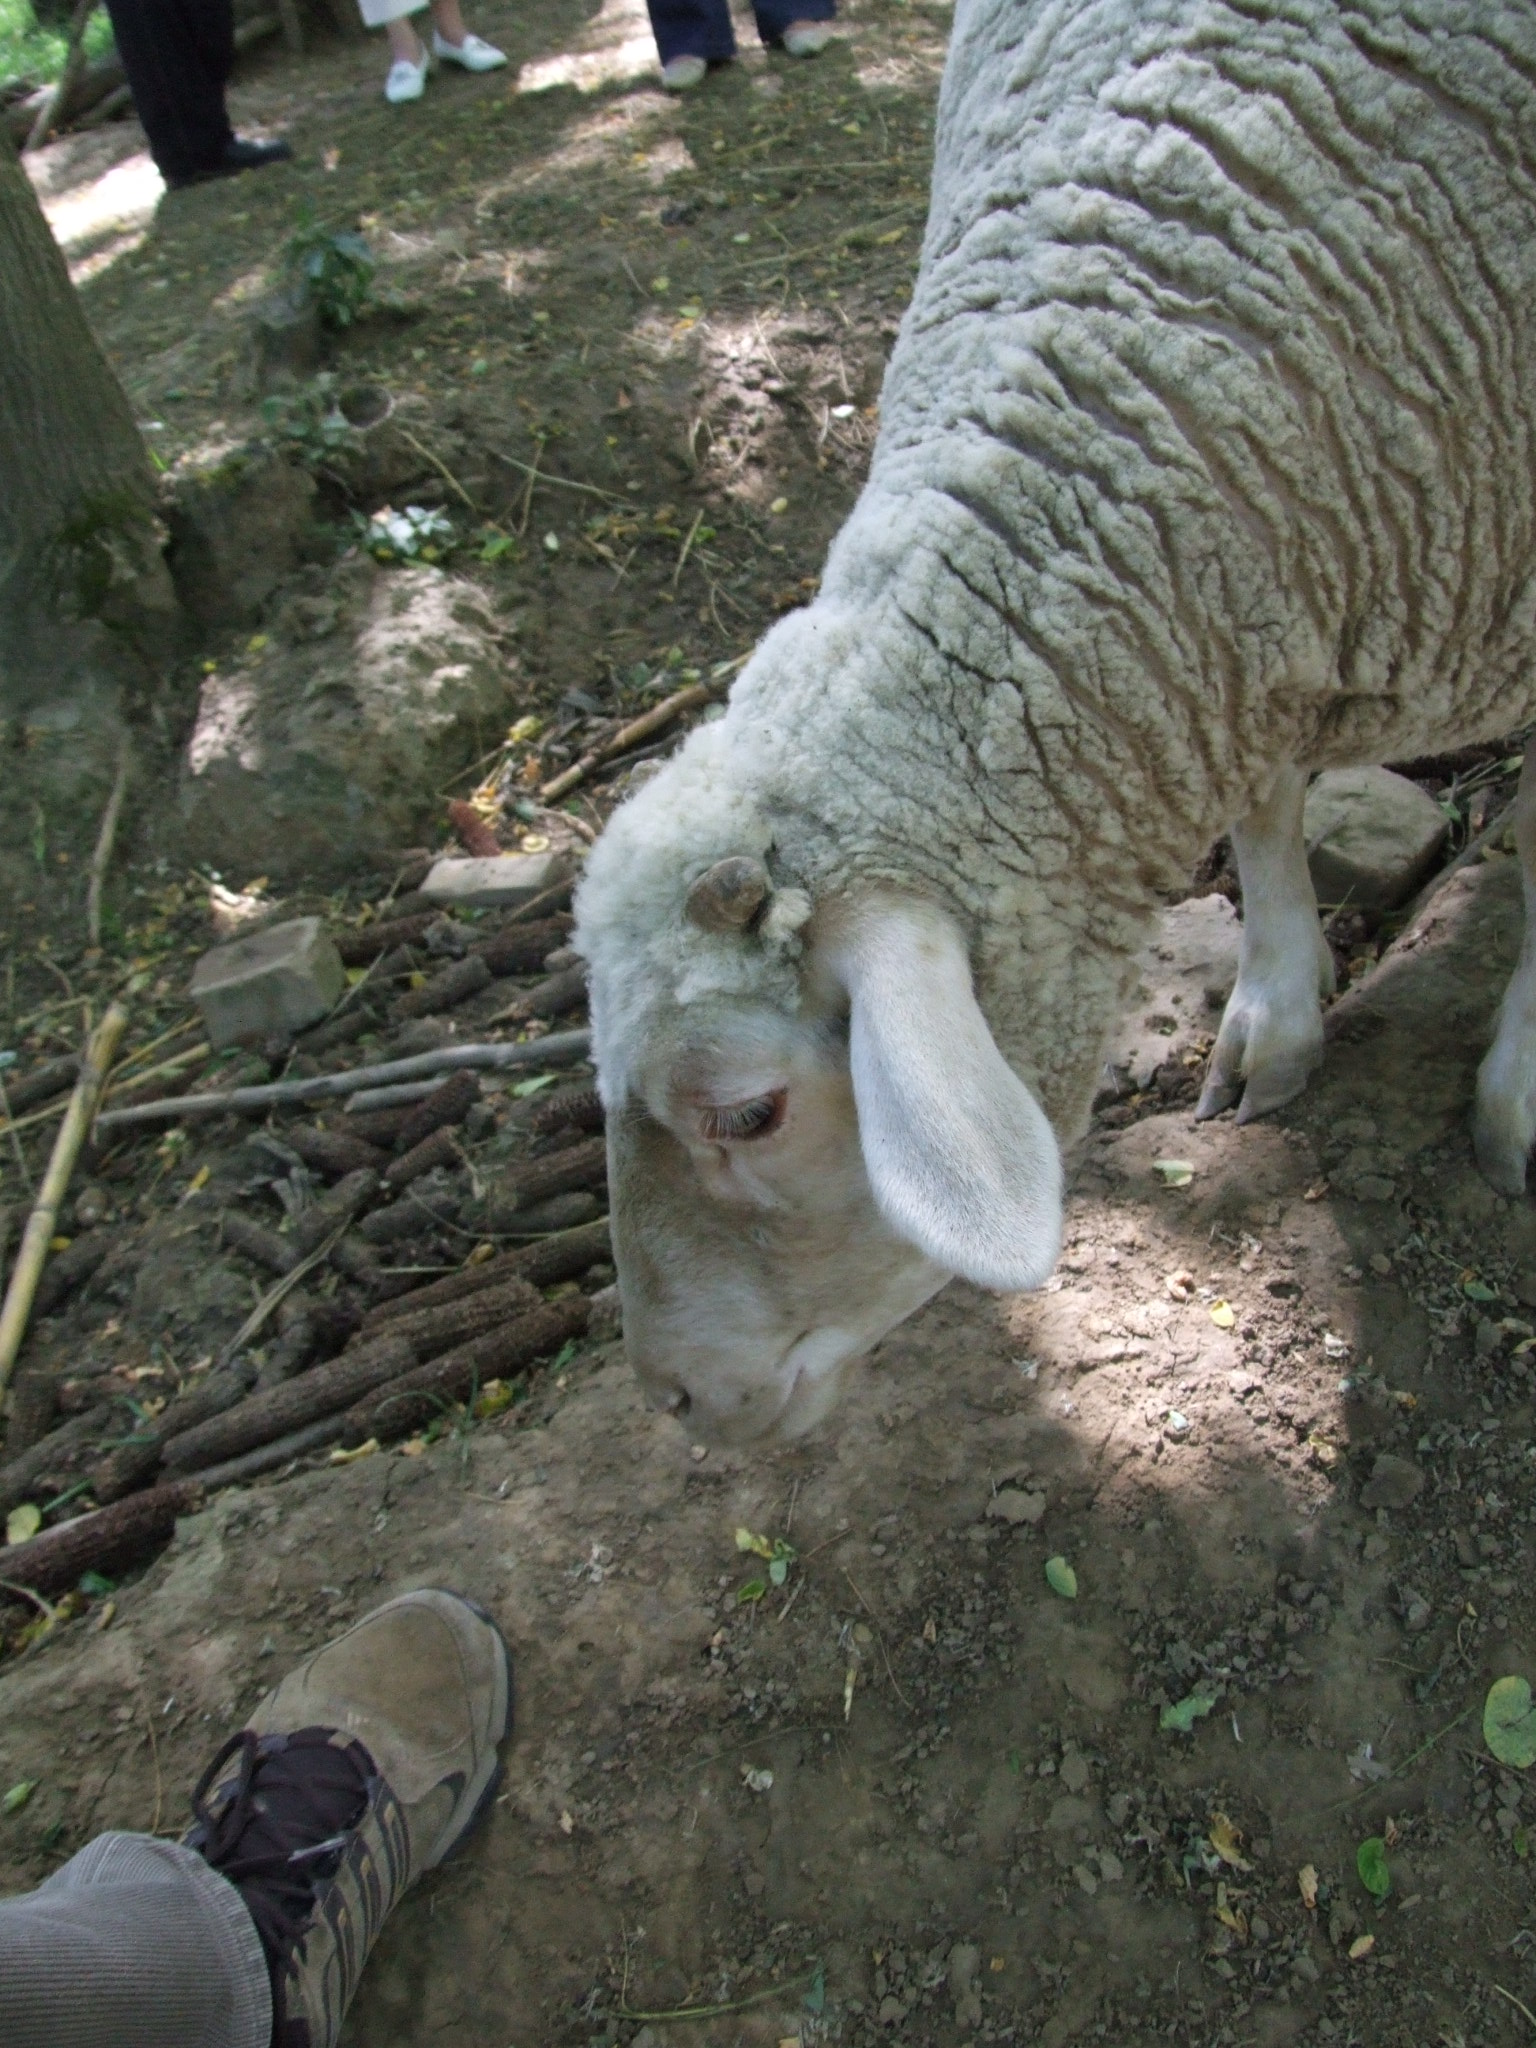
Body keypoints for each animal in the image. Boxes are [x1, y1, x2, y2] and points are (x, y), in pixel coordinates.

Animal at [575, 0, 1536, 1446]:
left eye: (747, 1113)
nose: (674, 1397)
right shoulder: (1233, 621)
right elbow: (1262, 801)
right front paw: (1274, 1017)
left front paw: (1522, 1095)